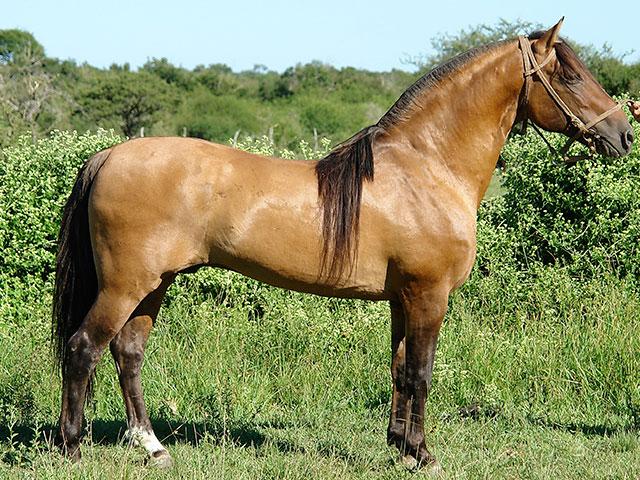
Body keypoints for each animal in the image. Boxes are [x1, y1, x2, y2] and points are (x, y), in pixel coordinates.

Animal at [55, 19, 636, 472]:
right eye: (569, 74)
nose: (623, 135)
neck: (426, 167)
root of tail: (107, 156)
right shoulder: (429, 295)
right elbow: (421, 373)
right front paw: (424, 455)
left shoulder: (404, 299)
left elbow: (400, 371)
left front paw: (400, 448)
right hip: (126, 285)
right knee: (84, 349)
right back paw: (73, 449)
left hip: (153, 284)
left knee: (128, 354)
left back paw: (153, 448)